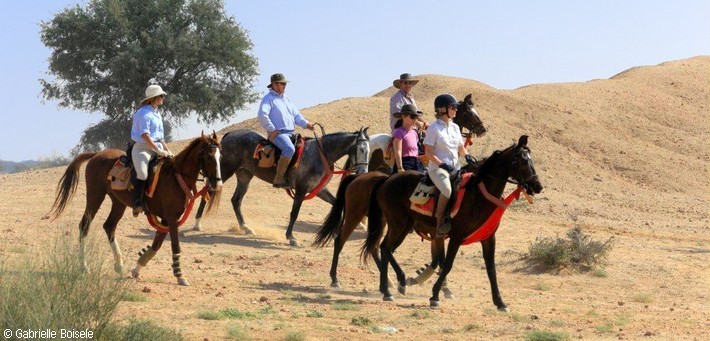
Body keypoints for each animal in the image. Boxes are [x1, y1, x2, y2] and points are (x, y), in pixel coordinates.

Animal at [49, 131, 222, 286]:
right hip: (95, 197)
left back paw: (119, 265)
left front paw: (137, 268)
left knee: (109, 226)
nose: (217, 183)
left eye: (220, 156)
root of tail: (97, 154)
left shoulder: (166, 219)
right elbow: (175, 245)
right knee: (84, 225)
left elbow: (156, 245)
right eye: (209, 156)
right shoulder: (171, 218)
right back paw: (84, 266)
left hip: (118, 203)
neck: (175, 177)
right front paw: (180, 275)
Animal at [195, 126, 372, 246]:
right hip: (223, 172)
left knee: (236, 200)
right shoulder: (301, 190)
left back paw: (245, 227)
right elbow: (294, 213)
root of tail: (229, 135)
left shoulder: (320, 190)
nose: (363, 171)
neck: (320, 154)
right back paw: (197, 223)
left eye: (369, 150)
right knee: (208, 192)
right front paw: (291, 237)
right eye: (361, 149)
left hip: (244, 176)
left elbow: (336, 204)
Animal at [364, 135, 544, 308]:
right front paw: (435, 295)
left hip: (405, 226)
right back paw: (395, 285)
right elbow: (447, 264)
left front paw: (500, 302)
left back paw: (390, 288)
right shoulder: (456, 237)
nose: (537, 186)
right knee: (385, 248)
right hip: (398, 224)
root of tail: (387, 180)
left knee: (386, 249)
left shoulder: (488, 238)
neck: (478, 194)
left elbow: (491, 269)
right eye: (522, 161)